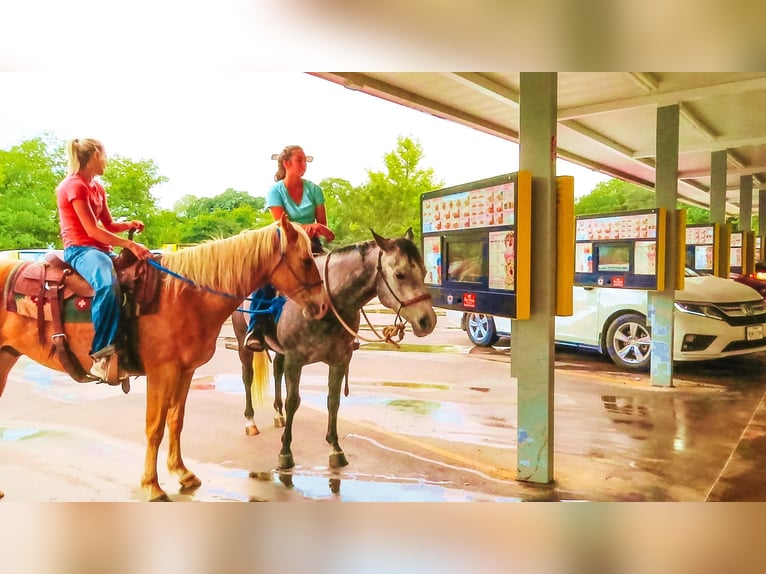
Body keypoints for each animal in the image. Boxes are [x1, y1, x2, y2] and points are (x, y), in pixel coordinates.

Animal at [0, 216, 328, 504]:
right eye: (306, 260)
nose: (323, 306)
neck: (184, 296)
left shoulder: (185, 372)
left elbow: (176, 420)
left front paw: (182, 473)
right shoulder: (162, 372)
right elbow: (154, 427)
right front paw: (152, 486)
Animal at [231, 230, 438, 472]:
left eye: (424, 272)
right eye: (400, 274)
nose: (427, 321)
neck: (326, 303)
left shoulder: (340, 360)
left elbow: (333, 401)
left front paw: (336, 449)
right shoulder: (295, 359)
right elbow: (294, 402)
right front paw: (285, 453)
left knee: (277, 372)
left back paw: (278, 415)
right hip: (241, 340)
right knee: (247, 377)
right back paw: (250, 422)